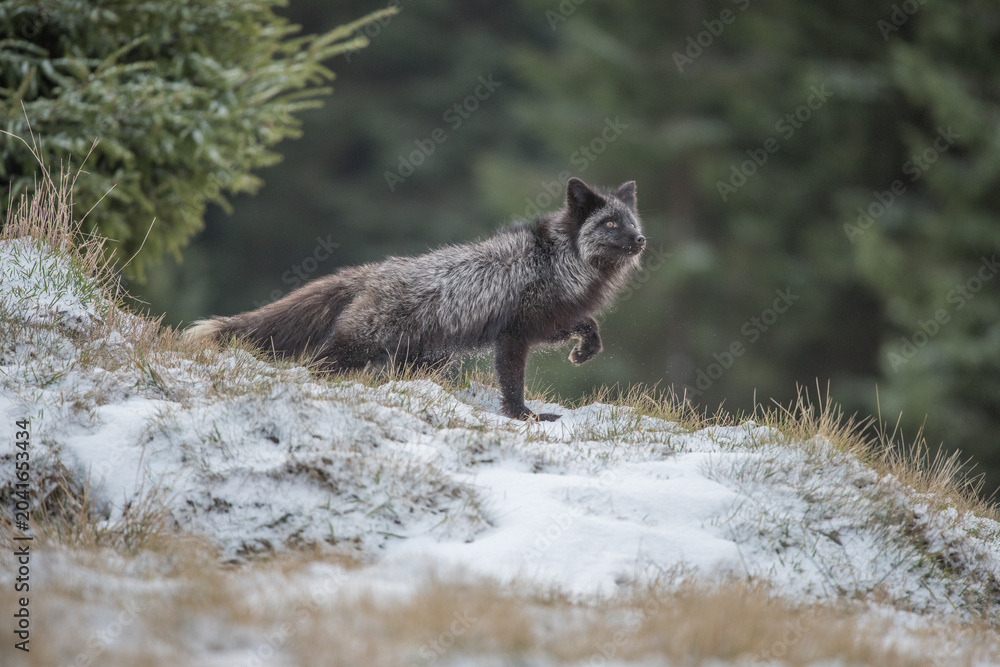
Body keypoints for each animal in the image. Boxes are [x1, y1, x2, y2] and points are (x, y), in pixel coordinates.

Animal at [183, 178, 645, 421]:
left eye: (631, 221)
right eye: (609, 223)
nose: (641, 239)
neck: (560, 259)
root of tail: (374, 272)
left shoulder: (546, 323)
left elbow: (586, 326)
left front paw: (586, 349)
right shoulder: (514, 335)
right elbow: (513, 383)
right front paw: (523, 417)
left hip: (421, 358)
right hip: (358, 347)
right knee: (315, 364)